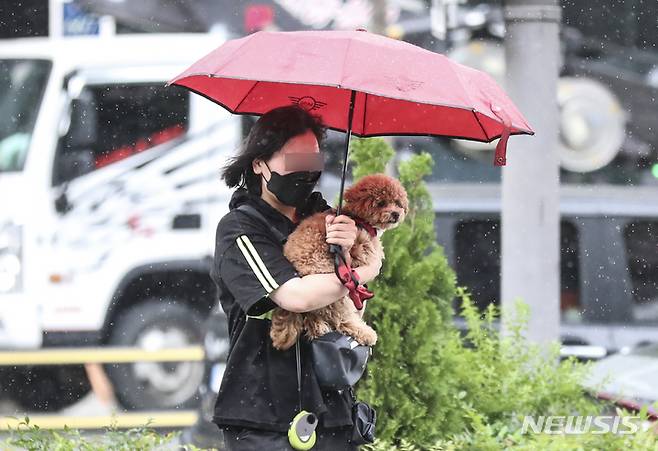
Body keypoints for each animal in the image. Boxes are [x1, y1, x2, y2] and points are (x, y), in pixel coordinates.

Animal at [266, 175, 404, 352]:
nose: (396, 213)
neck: (359, 220)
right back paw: (364, 332)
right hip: (330, 288)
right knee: (340, 318)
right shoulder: (358, 250)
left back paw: (319, 327)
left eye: (397, 202)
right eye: (381, 203)